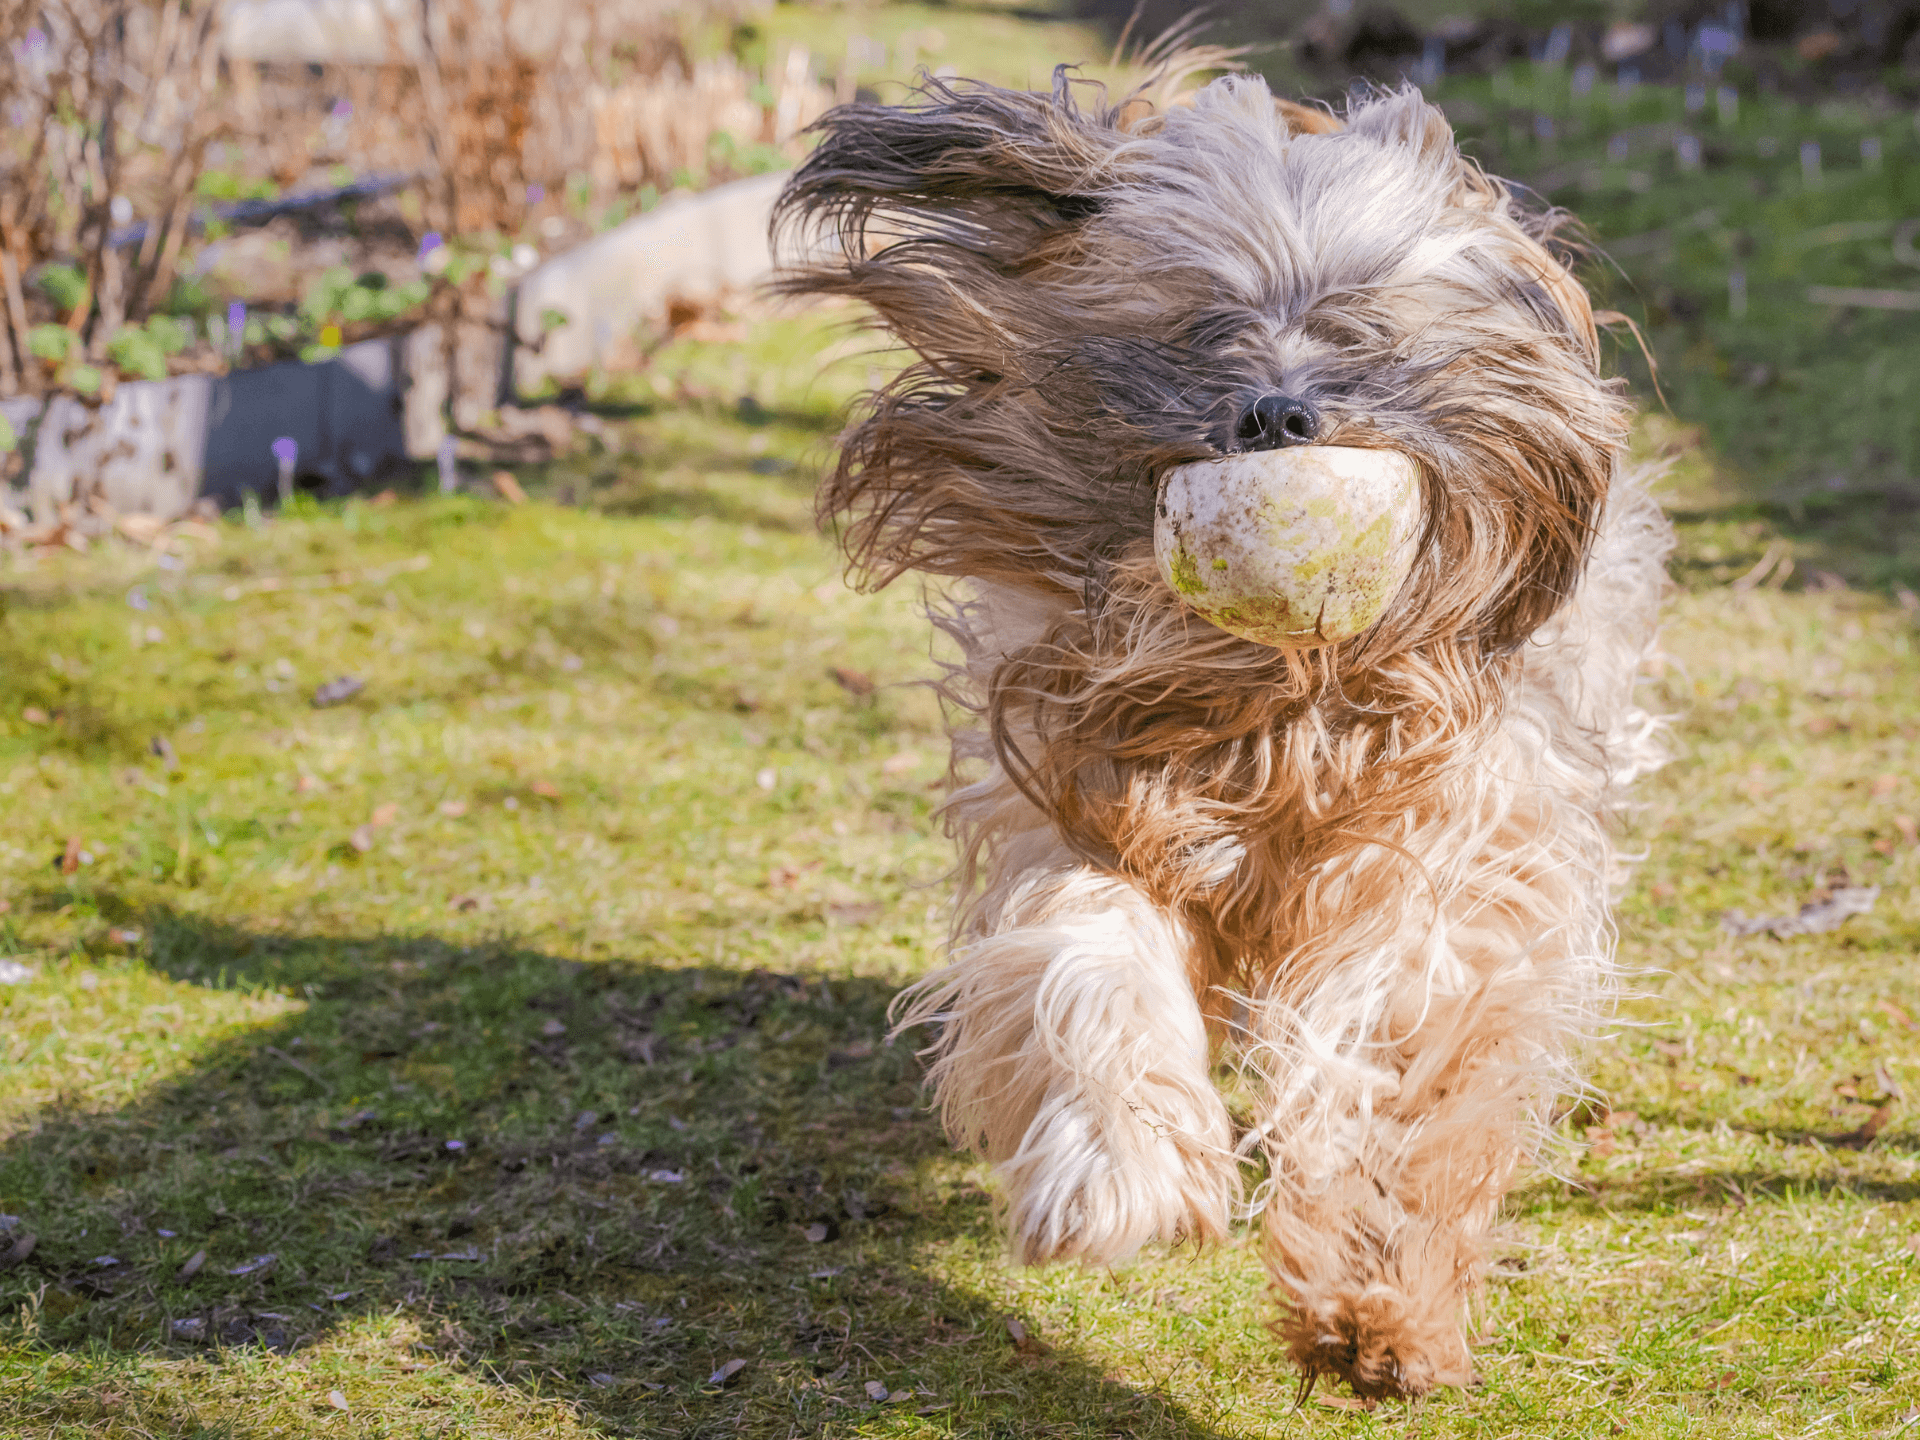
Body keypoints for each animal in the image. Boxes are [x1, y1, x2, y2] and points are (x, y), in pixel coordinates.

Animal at [771, 70, 1674, 1413]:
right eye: (1206, 324)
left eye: (1359, 325)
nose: (1277, 412)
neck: (1274, 701)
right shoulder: (1085, 798)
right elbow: (1087, 957)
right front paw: (1115, 1169)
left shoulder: (1448, 857)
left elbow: (1404, 1055)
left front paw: (1378, 1299)